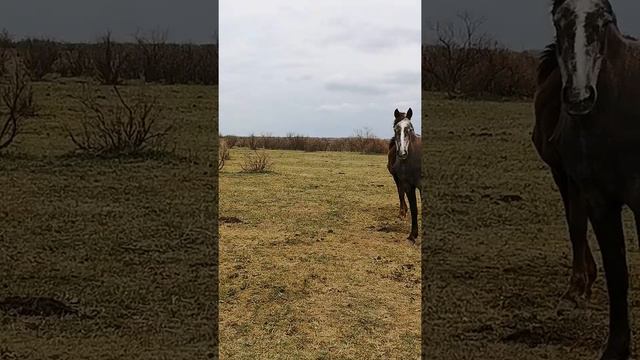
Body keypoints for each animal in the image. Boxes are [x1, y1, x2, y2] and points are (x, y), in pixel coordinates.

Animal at [384, 107, 420, 242]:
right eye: (395, 128)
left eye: (410, 128)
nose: (402, 152)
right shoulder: (402, 180)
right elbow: (403, 195)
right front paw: (403, 212)